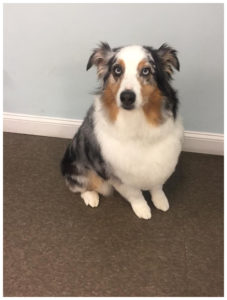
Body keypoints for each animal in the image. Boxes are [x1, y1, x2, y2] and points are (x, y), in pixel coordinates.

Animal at [60, 42, 184, 219]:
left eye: (146, 70)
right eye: (117, 69)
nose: (127, 97)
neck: (137, 121)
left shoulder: (163, 159)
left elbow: (157, 186)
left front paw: (160, 201)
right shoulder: (117, 172)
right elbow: (135, 194)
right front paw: (142, 209)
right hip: (79, 167)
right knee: (80, 186)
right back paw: (91, 197)